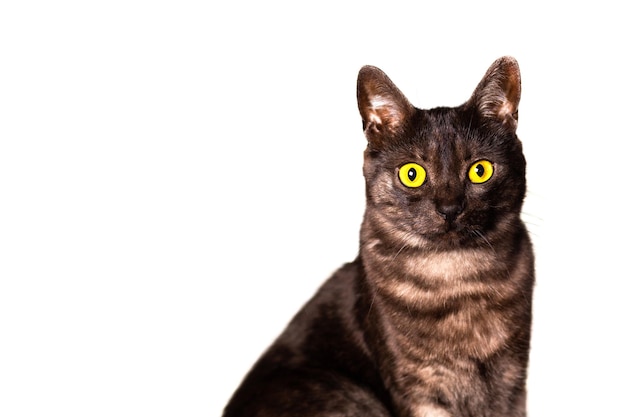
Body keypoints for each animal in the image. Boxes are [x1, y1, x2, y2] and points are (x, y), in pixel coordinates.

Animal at [222, 56, 532, 416]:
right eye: (412, 174)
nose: (449, 208)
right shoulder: (418, 387)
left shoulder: (513, 381)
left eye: (480, 170)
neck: (457, 281)